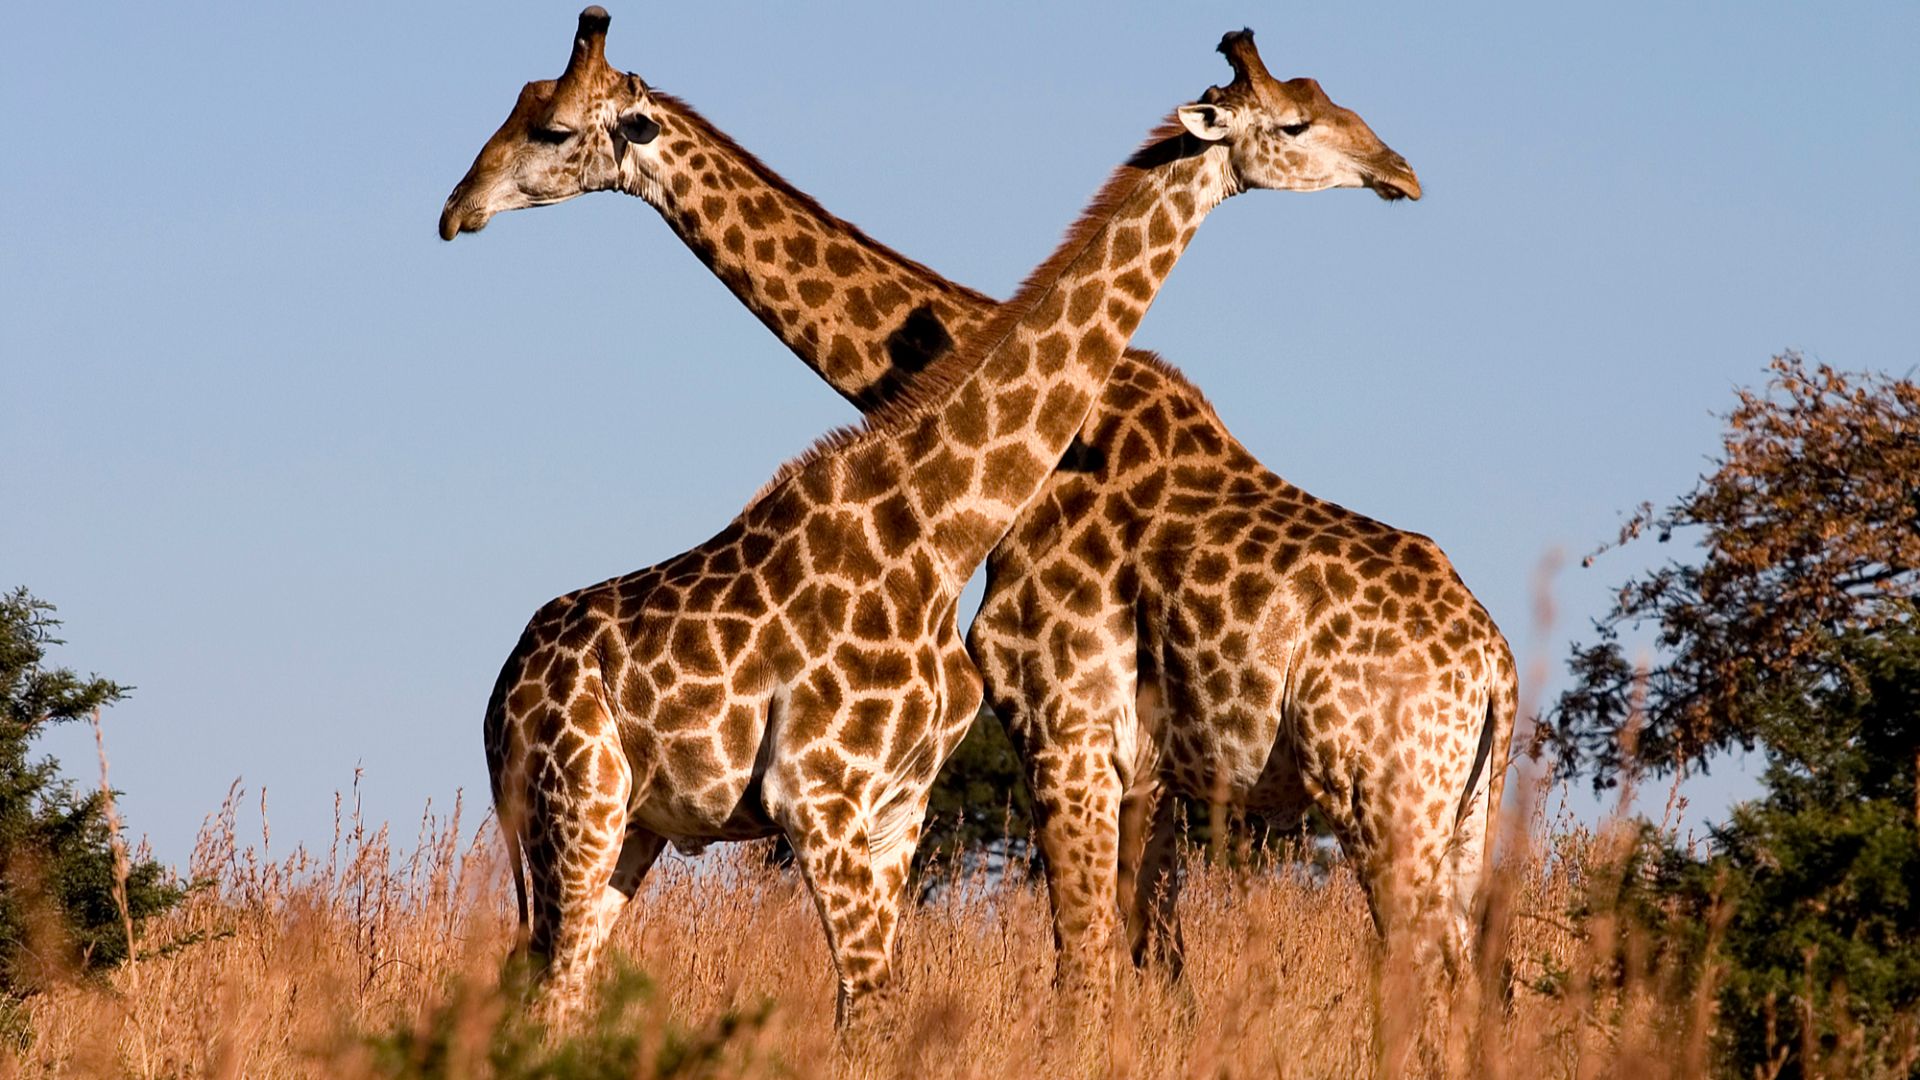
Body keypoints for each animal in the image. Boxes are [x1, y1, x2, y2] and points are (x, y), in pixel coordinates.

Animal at [442, 9, 1493, 1009]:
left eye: (550, 128)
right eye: (1299, 117)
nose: (457, 210)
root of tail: (1496, 666)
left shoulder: (1049, 742)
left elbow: (1088, 973)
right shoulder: (1066, 758)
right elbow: (1109, 973)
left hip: (1396, 798)